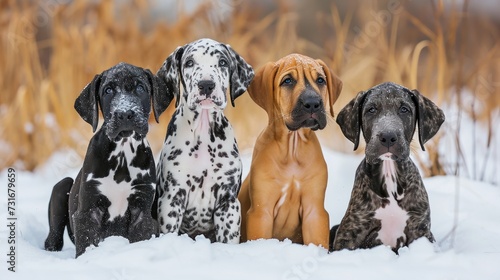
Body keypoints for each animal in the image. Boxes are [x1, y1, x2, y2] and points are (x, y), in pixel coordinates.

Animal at [45, 62, 174, 258]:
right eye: (108, 90)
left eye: (140, 88)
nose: (125, 114)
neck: (122, 153)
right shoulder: (87, 212)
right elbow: (86, 244)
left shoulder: (142, 211)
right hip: (61, 187)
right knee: (53, 236)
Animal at [154, 38, 254, 244]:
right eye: (189, 63)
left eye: (222, 62)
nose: (206, 85)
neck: (203, 131)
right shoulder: (171, 199)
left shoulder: (228, 203)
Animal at [239, 53, 342, 248]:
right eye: (287, 81)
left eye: (320, 80)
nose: (313, 103)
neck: (292, 148)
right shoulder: (261, 212)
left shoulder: (314, 211)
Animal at [330, 82, 444, 253]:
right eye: (371, 110)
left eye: (404, 109)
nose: (388, 137)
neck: (389, 173)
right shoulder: (350, 232)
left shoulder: (420, 230)